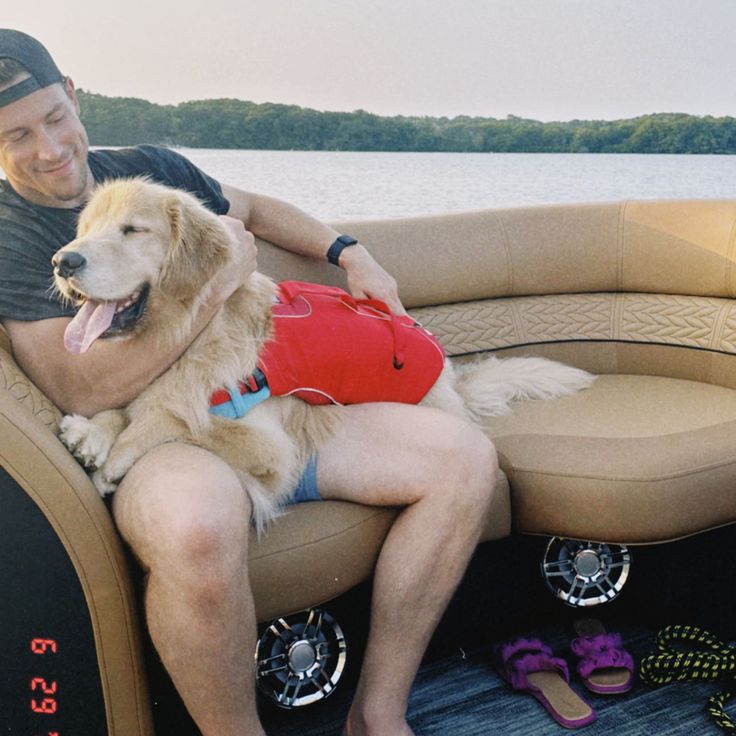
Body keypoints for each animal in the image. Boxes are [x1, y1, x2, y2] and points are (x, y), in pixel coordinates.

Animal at [53, 181, 592, 532]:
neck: (195, 333)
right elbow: (132, 405)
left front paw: (116, 455)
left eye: (132, 230)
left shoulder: (273, 449)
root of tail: (451, 384)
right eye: (87, 228)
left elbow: (178, 420)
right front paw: (93, 432)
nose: (63, 261)